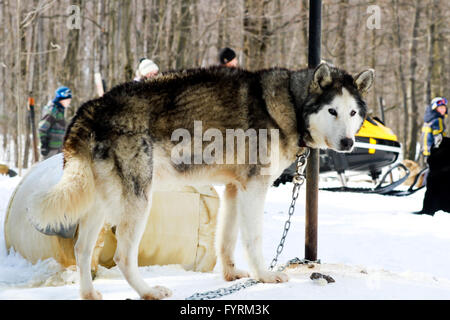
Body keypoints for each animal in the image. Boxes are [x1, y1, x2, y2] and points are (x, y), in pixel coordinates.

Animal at [27, 63, 372, 300]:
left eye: (353, 113)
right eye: (332, 111)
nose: (348, 143)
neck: (290, 103)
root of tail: (91, 107)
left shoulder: (234, 190)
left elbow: (227, 239)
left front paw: (232, 275)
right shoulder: (254, 189)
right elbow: (253, 240)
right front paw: (264, 276)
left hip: (100, 204)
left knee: (82, 248)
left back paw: (89, 293)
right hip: (138, 202)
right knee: (123, 256)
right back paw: (149, 291)